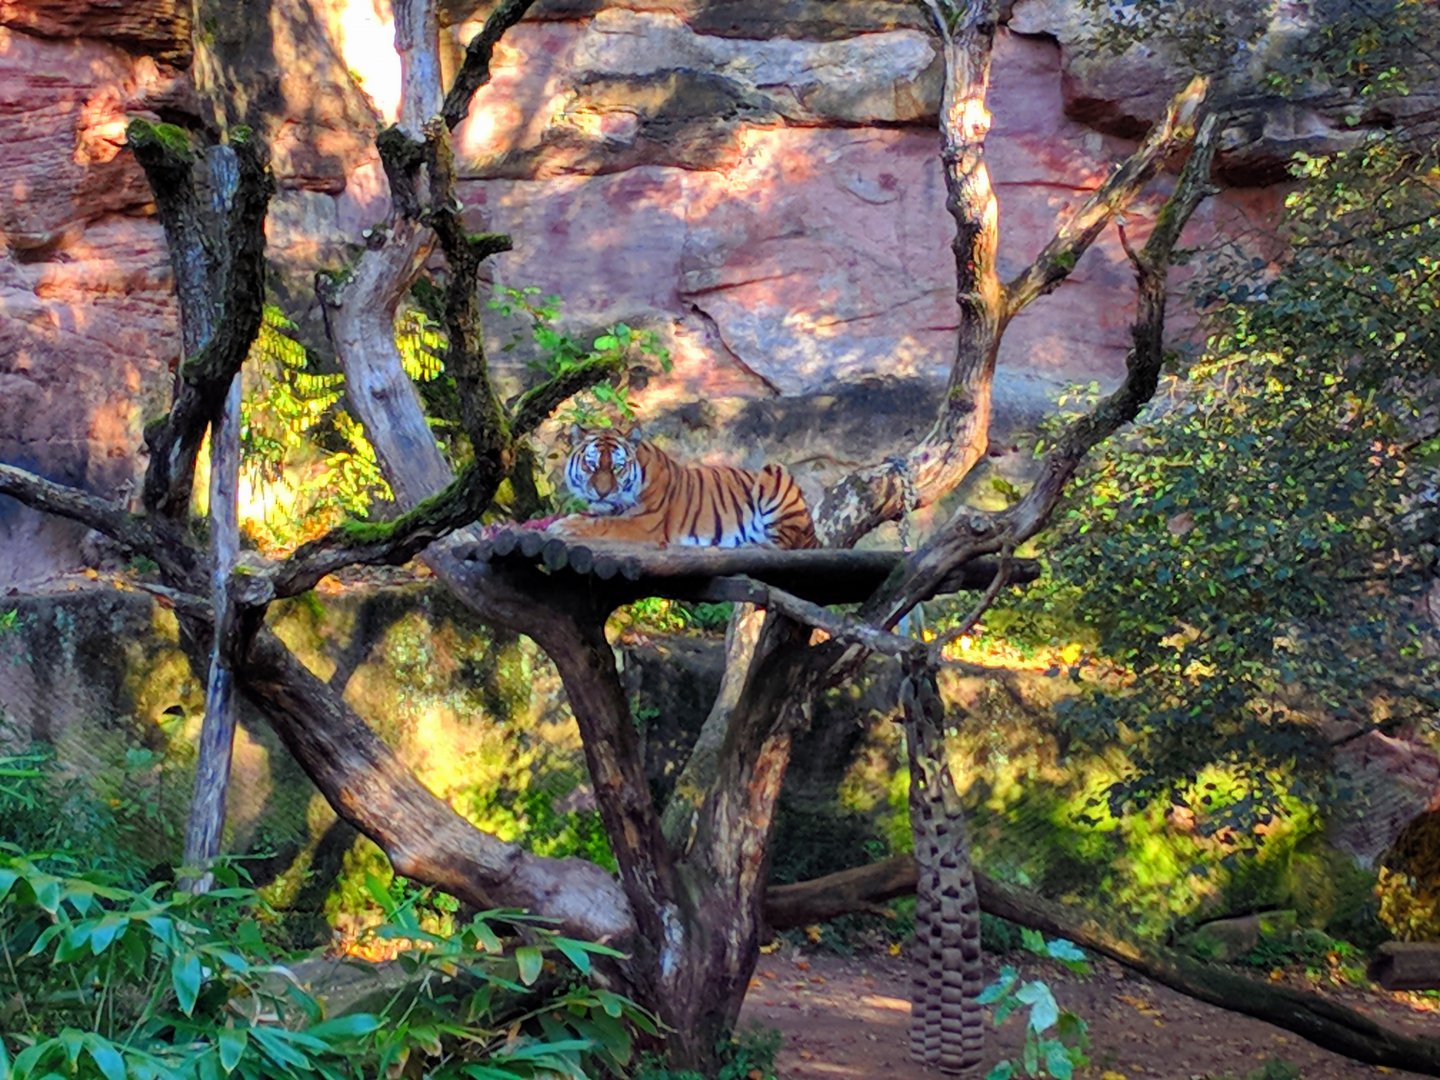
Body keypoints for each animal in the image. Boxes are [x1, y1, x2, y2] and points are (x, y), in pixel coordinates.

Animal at [547, 427, 819, 550]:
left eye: (617, 467)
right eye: (591, 465)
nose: (602, 492)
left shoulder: (643, 525)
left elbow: (602, 524)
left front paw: (562, 526)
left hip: (775, 473)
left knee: (781, 544)